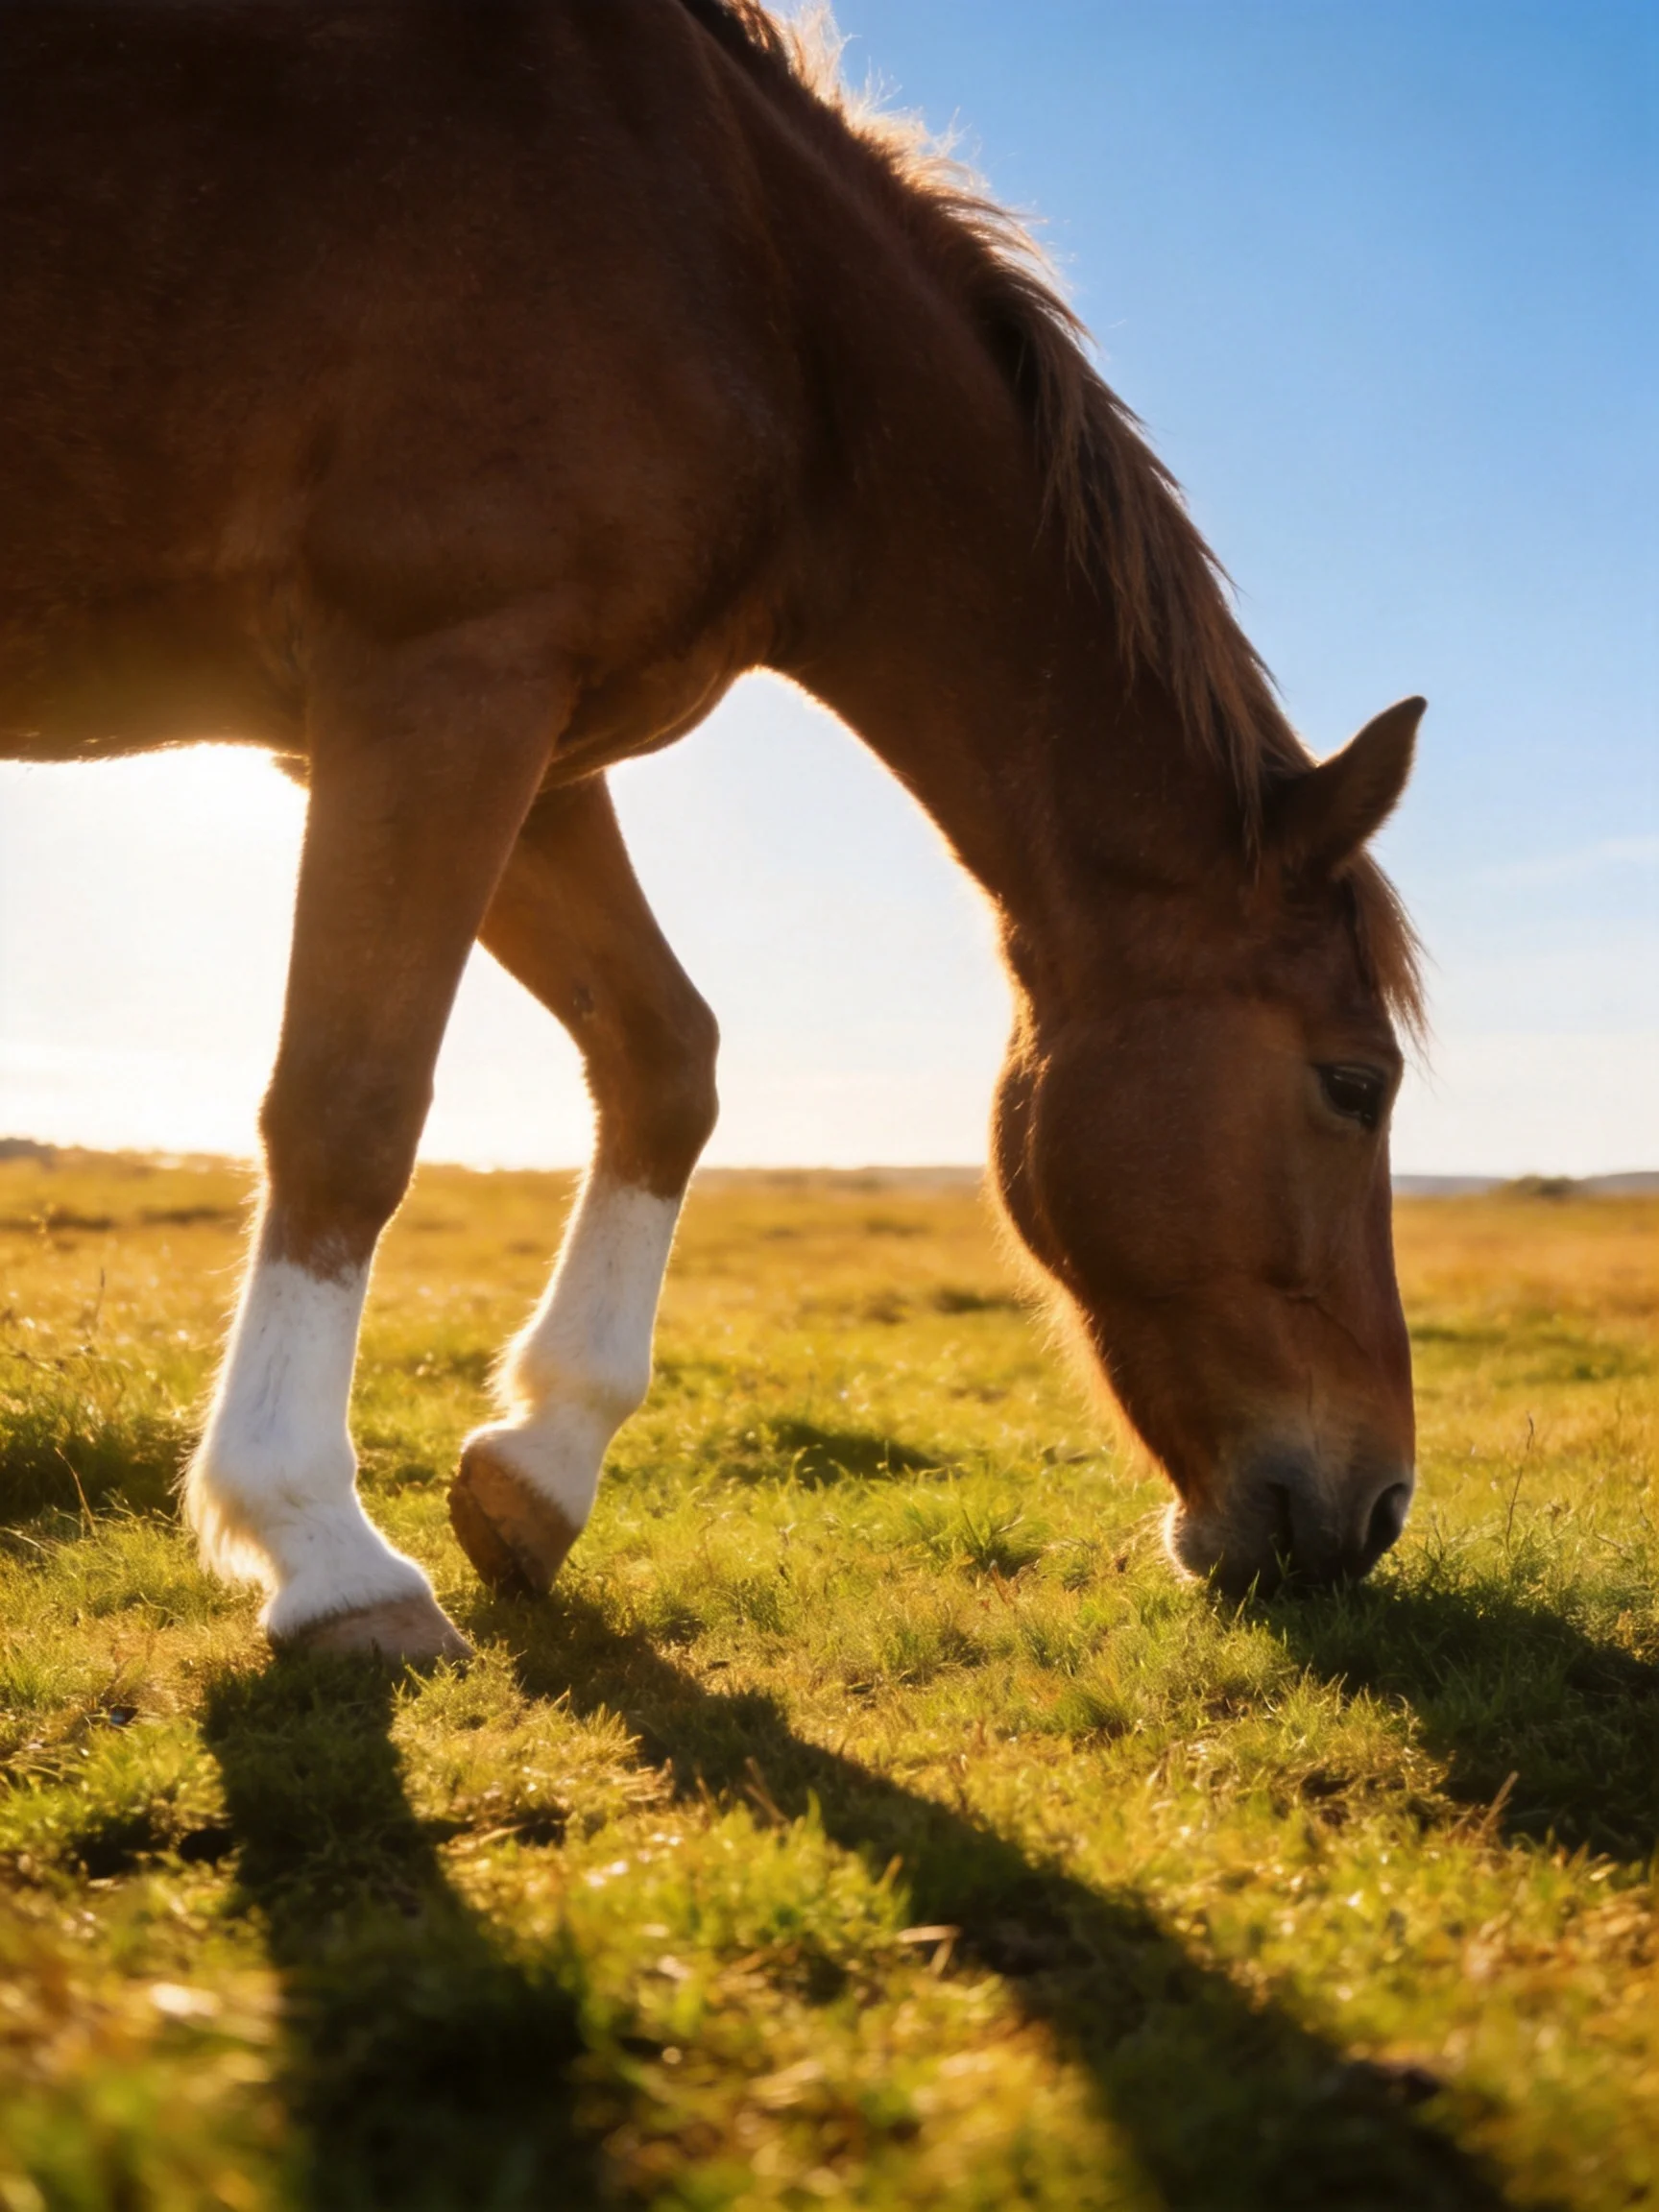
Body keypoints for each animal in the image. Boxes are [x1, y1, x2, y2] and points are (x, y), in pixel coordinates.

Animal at [0, 0, 1425, 1663]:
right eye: (1354, 1086)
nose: (1379, 1509)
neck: (747, 283)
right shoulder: (438, 676)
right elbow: (352, 1106)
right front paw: (320, 1548)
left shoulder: (535, 747)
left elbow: (665, 1058)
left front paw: (538, 1467)